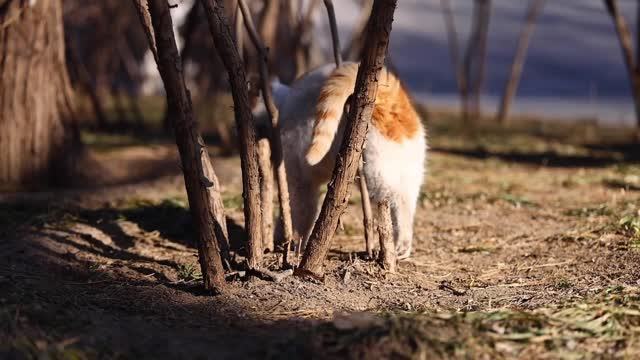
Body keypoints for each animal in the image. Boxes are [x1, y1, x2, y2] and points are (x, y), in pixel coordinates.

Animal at [262, 62, 428, 258]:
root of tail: (387, 92)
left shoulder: (299, 179)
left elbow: (300, 214)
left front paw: (296, 247)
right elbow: (288, 213)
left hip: (375, 175)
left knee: (394, 199)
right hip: (409, 172)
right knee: (406, 207)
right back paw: (403, 247)